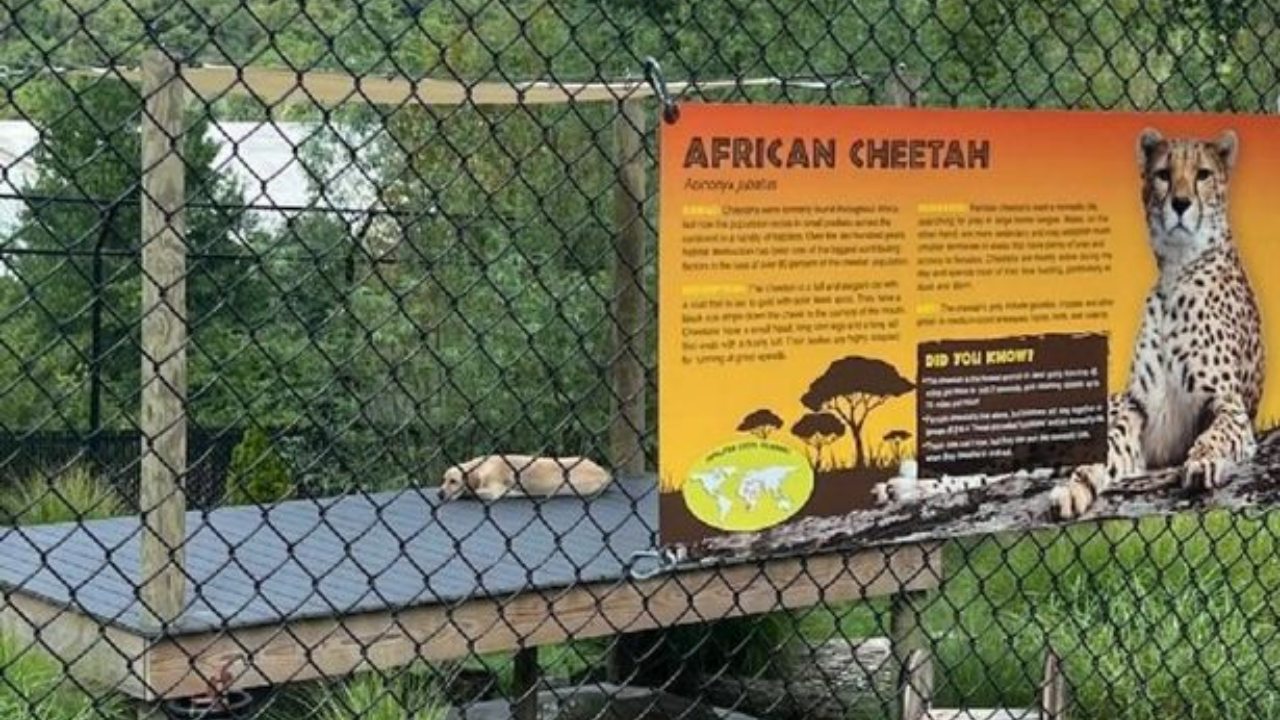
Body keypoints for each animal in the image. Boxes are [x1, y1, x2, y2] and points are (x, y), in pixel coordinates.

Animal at [437, 453, 611, 499]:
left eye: (453, 481)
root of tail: (604, 473)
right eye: (443, 479)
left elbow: (476, 492)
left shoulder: (496, 491)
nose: (439, 494)